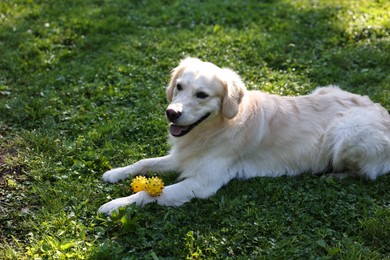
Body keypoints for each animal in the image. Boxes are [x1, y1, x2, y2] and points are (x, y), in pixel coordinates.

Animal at [99, 58, 390, 214]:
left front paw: (115, 204)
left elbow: (148, 194)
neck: (213, 129)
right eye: (179, 86)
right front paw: (116, 173)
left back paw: (332, 175)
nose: (171, 113)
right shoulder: (183, 156)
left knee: (364, 173)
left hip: (348, 131)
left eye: (202, 95)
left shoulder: (203, 183)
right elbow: (145, 162)